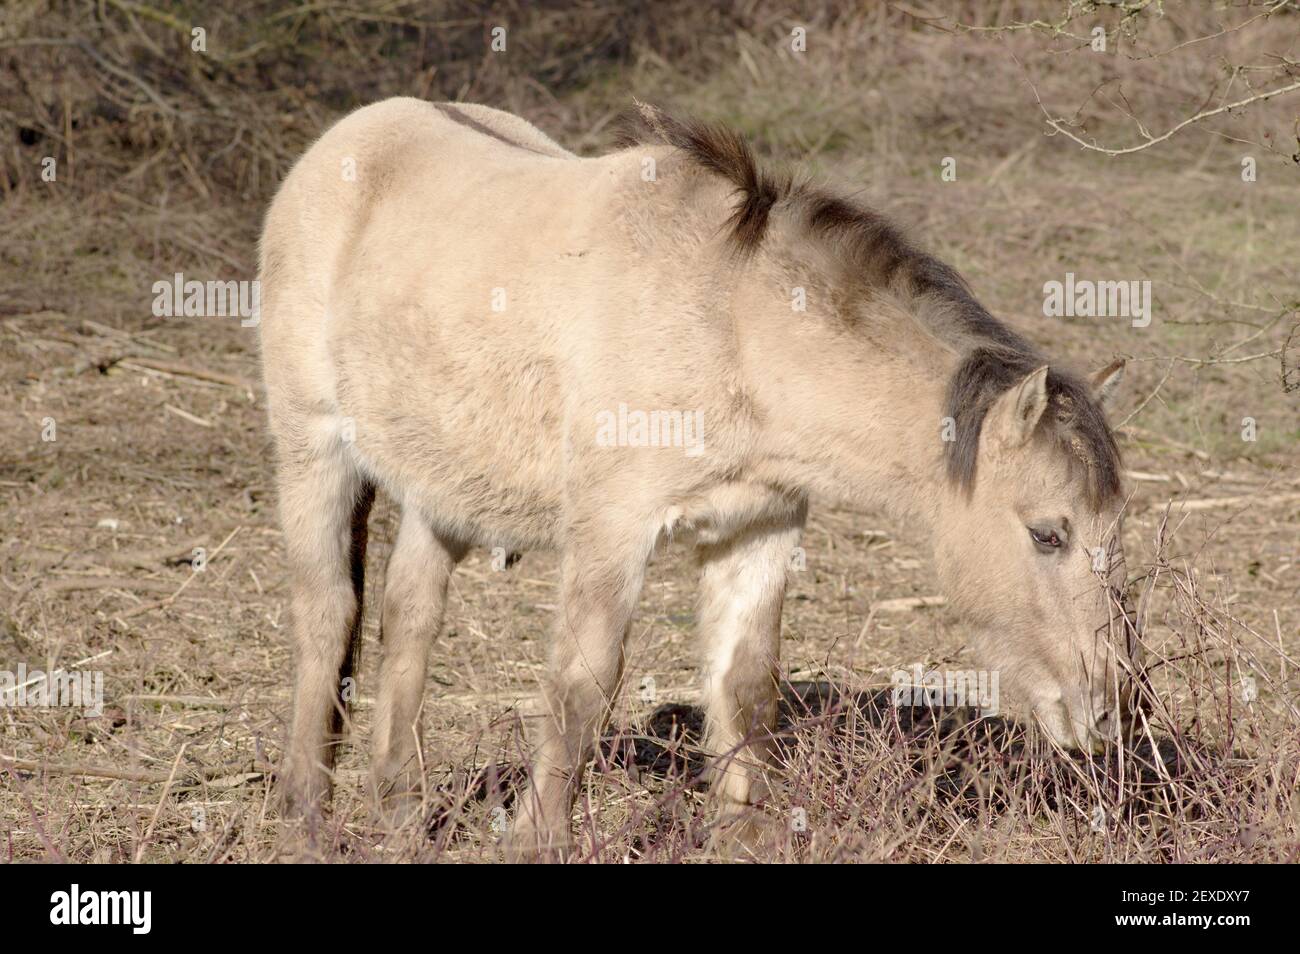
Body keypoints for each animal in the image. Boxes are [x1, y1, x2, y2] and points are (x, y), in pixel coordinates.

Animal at [257, 98, 1137, 855]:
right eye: (1048, 534)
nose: (1106, 714)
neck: (729, 327)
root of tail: (343, 144)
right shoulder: (611, 531)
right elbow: (581, 689)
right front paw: (540, 838)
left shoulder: (759, 529)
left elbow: (743, 685)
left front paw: (745, 836)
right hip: (313, 448)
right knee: (326, 612)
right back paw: (306, 814)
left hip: (442, 480)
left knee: (409, 615)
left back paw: (400, 811)